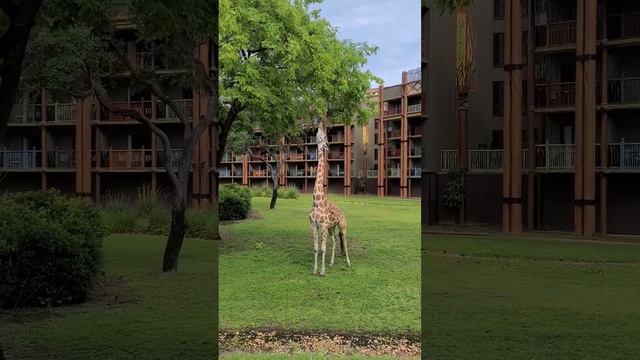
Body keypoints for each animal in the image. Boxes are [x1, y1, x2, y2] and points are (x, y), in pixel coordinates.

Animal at [308, 121, 352, 276]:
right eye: (320, 133)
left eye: (325, 136)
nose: (320, 124)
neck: (316, 202)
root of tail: (343, 212)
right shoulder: (314, 225)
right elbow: (316, 248)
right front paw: (315, 270)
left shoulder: (323, 226)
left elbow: (322, 248)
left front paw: (322, 271)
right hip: (332, 228)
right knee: (334, 241)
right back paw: (332, 263)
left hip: (342, 226)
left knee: (344, 241)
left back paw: (348, 263)